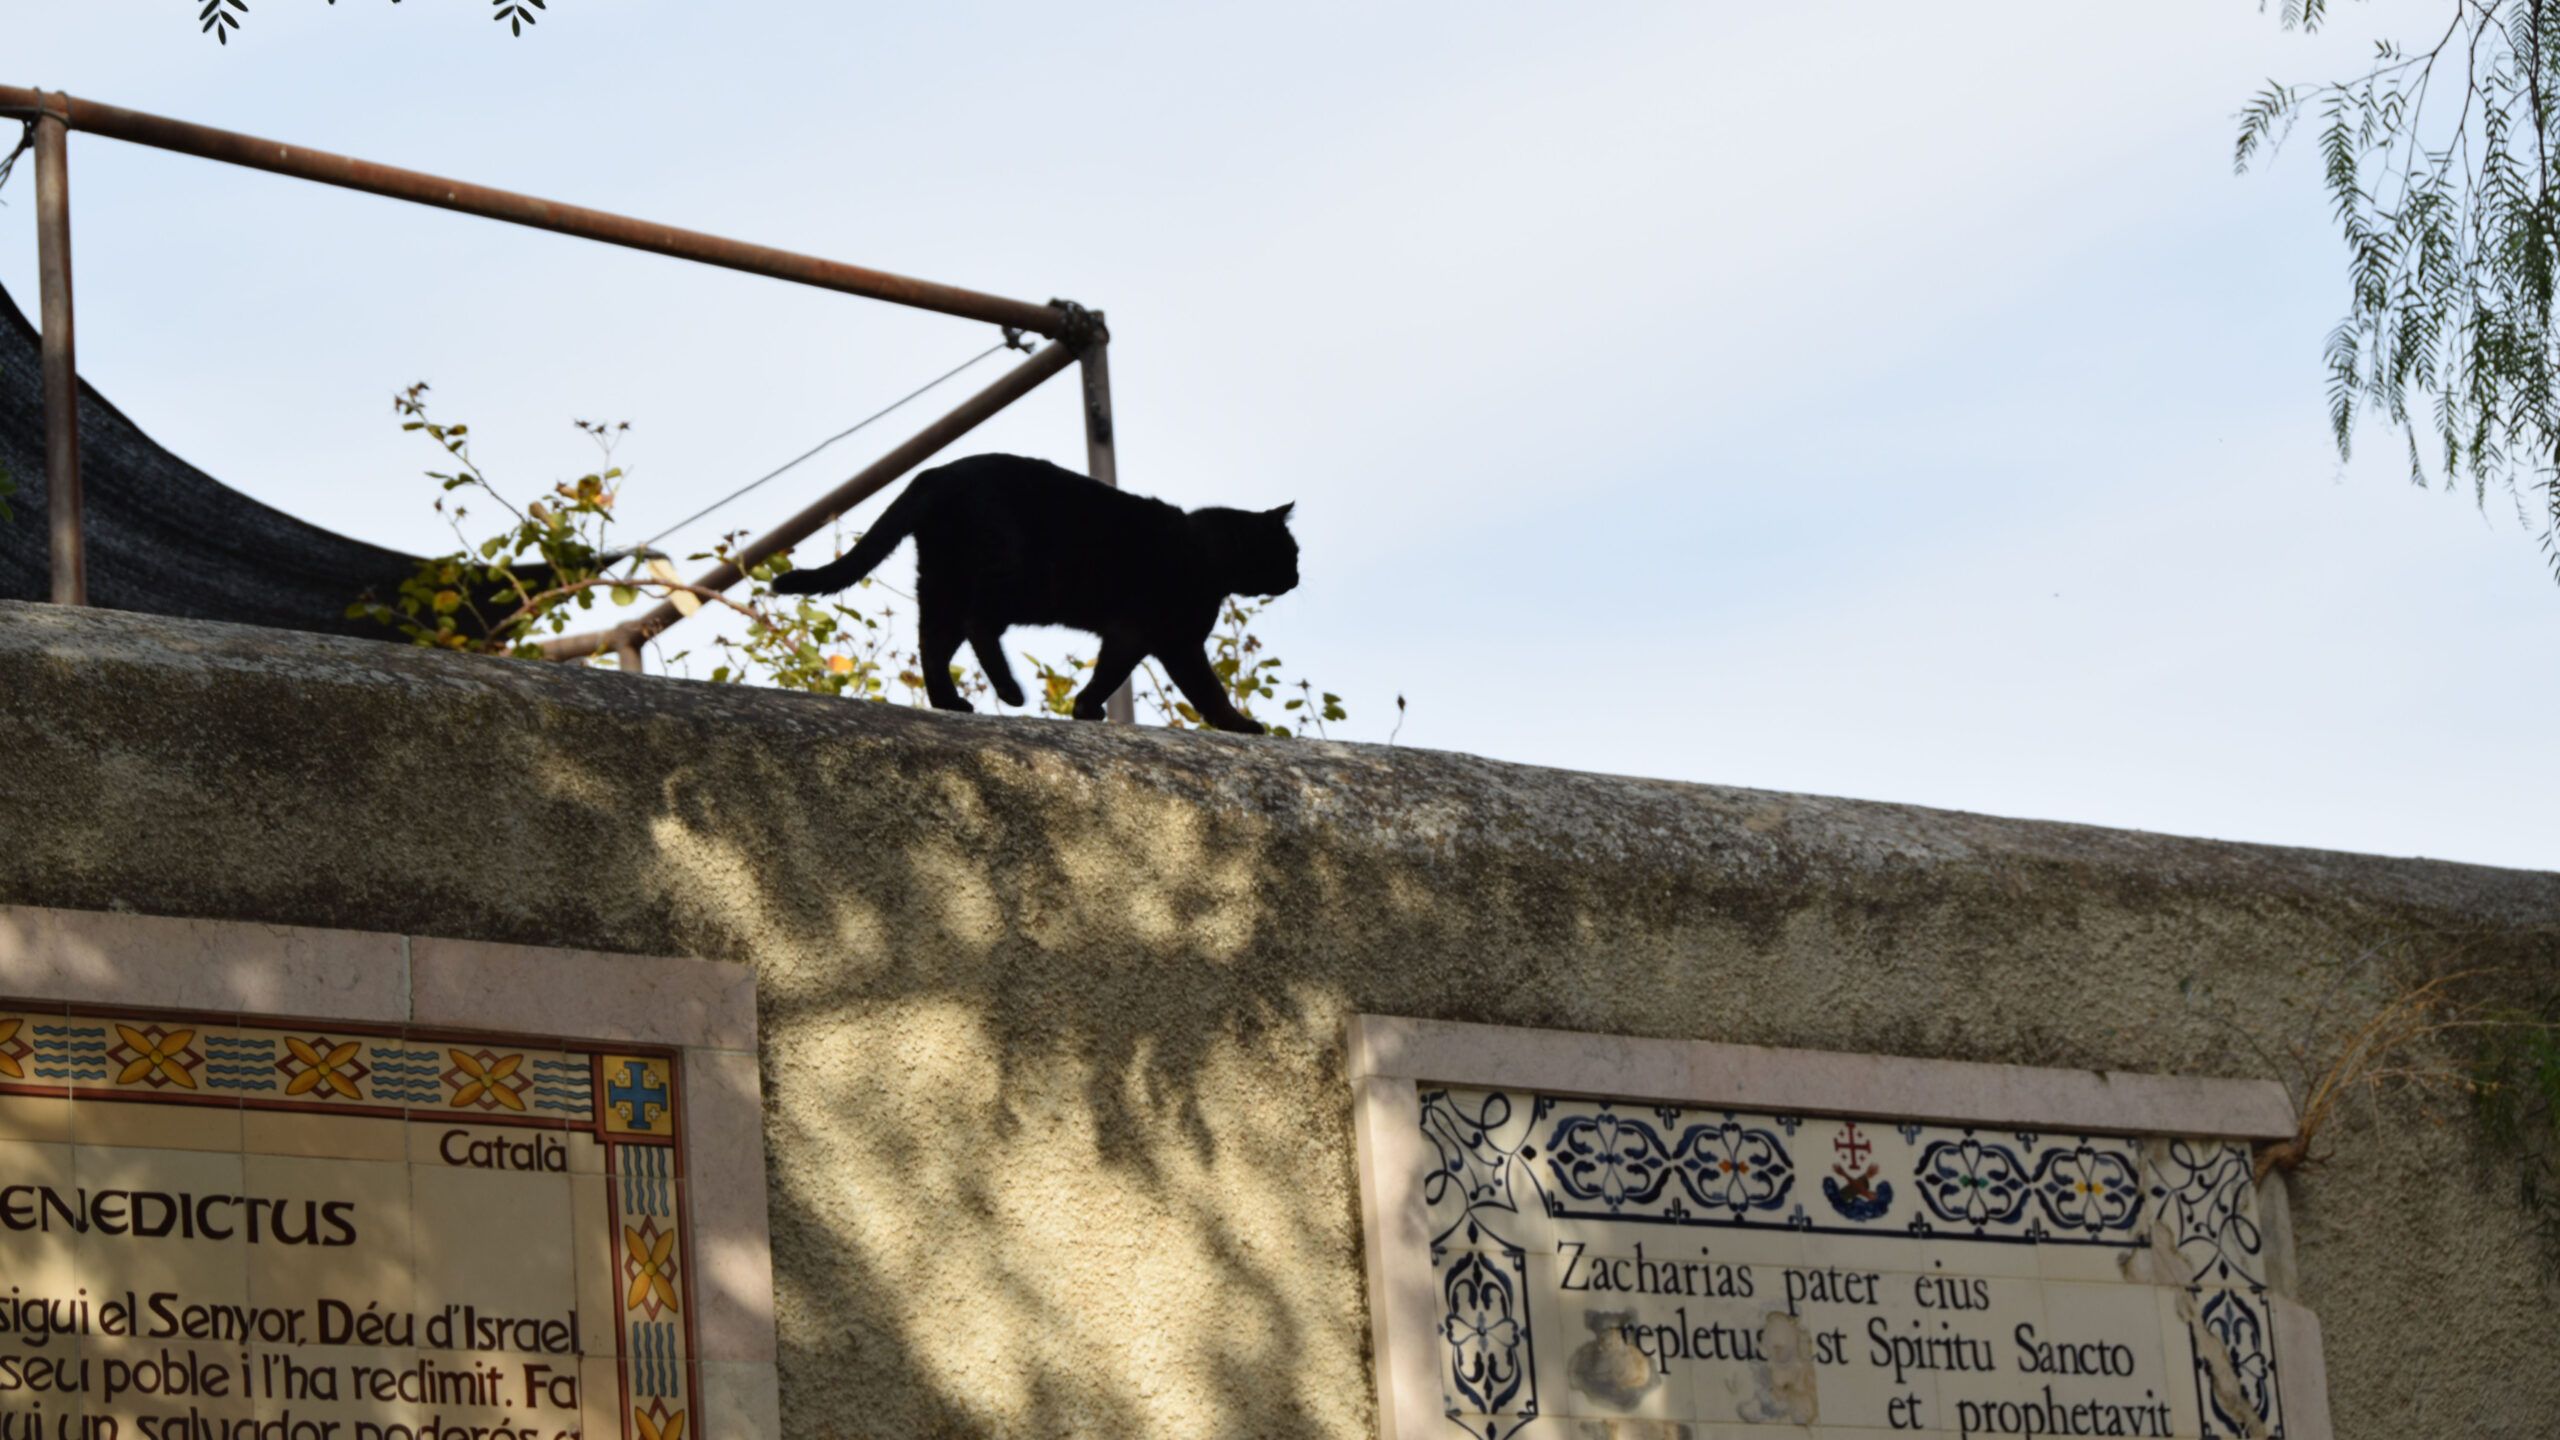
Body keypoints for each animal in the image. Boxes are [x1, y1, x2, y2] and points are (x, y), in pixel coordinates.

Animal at [768, 453, 1300, 732]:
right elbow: (1181, 683)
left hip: (943, 582)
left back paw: (950, 702)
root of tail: (936, 472)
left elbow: (1190, 688)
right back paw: (1008, 690)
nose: (1296, 578)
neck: (1204, 554)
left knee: (934, 642)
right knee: (977, 624)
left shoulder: (1165, 641)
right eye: (1290, 554)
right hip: (1014, 580)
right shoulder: (1152, 635)